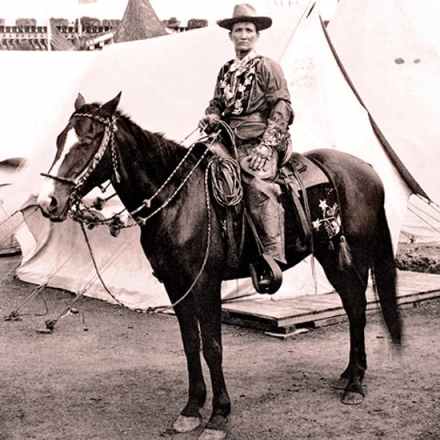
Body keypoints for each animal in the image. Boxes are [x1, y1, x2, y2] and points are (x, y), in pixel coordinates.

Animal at [37, 93, 402, 440]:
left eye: (88, 139)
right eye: (59, 139)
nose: (48, 202)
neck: (178, 199)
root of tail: (366, 168)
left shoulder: (206, 283)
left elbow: (213, 347)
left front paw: (219, 416)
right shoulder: (175, 285)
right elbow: (190, 344)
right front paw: (191, 409)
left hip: (351, 256)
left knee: (357, 307)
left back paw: (355, 384)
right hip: (331, 257)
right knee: (353, 306)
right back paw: (350, 374)